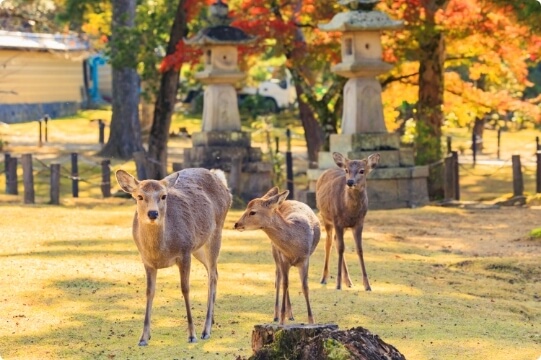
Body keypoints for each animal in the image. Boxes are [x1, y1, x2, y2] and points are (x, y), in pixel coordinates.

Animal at [115, 169, 231, 346]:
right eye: (139, 196)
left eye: (163, 196)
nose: (153, 213)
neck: (160, 251)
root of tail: (219, 178)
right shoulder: (146, 261)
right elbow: (149, 292)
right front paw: (144, 338)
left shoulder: (184, 252)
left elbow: (185, 289)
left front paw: (192, 335)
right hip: (199, 247)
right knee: (215, 272)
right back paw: (212, 321)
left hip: (216, 232)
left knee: (212, 276)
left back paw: (205, 330)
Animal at [233, 187, 318, 324]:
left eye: (253, 212)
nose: (236, 224)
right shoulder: (283, 257)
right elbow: (284, 284)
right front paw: (282, 320)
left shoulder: (305, 258)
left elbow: (305, 287)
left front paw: (311, 321)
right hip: (275, 252)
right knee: (278, 279)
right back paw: (277, 315)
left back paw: (291, 315)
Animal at [314, 150, 378, 292]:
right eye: (347, 170)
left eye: (362, 170)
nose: (349, 181)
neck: (350, 212)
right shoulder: (337, 221)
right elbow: (340, 248)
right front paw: (337, 285)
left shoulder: (359, 222)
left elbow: (359, 249)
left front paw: (367, 285)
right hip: (325, 217)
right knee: (329, 243)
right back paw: (324, 278)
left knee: (336, 242)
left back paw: (348, 281)